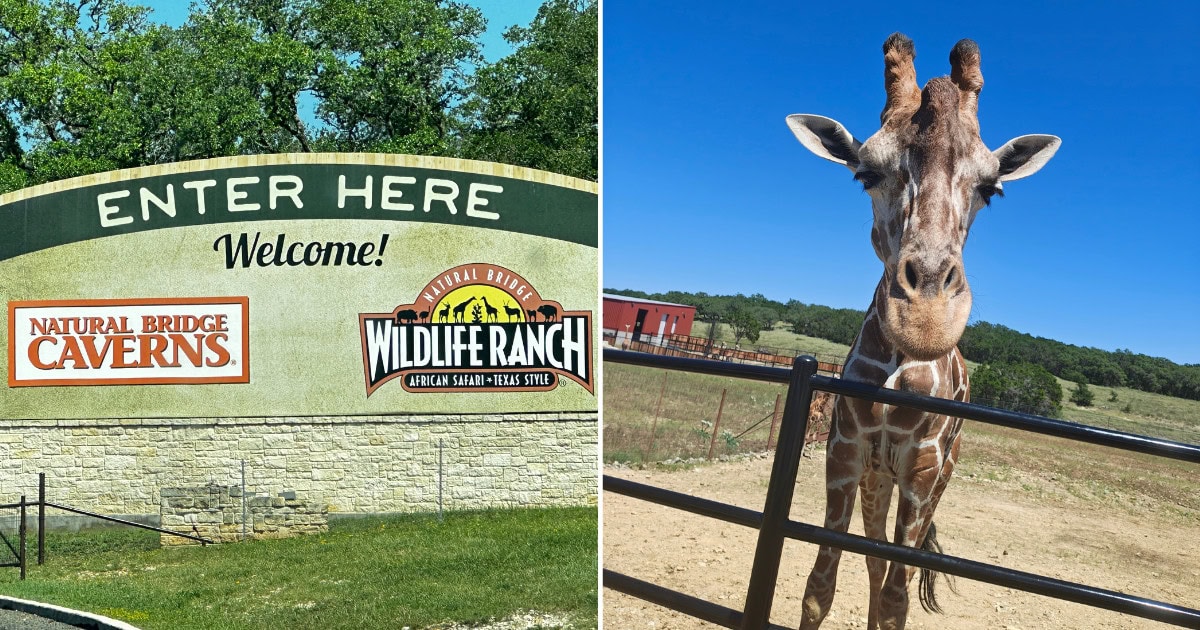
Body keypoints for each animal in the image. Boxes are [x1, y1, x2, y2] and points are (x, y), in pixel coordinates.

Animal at [785, 34, 1059, 630]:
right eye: (864, 174)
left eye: (992, 189)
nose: (927, 319)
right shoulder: (846, 452)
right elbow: (821, 584)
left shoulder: (923, 467)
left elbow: (897, 598)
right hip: (878, 477)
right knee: (871, 559)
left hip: (940, 478)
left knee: (898, 573)